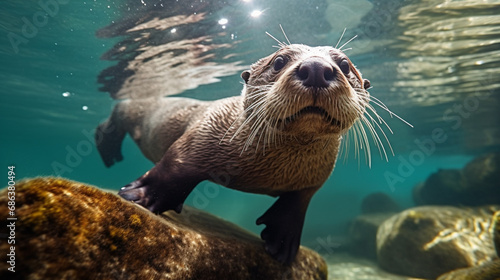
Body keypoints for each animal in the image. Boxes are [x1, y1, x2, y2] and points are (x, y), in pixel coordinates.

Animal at [96, 43, 372, 264]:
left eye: (345, 64)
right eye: (279, 61)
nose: (315, 68)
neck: (268, 172)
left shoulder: (315, 178)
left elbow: (298, 204)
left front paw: (282, 243)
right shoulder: (204, 130)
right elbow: (173, 166)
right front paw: (138, 195)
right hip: (140, 109)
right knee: (120, 110)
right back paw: (106, 145)